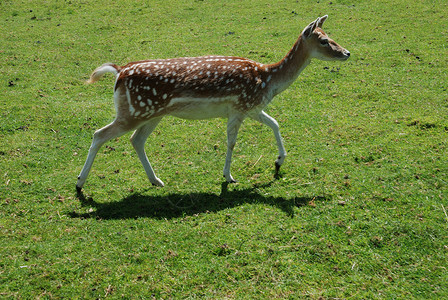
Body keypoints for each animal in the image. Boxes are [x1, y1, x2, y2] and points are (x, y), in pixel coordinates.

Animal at [76, 14, 350, 191]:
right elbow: (231, 142)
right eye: (323, 40)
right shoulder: (239, 107)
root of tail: (118, 73)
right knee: (99, 134)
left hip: (153, 113)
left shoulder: (251, 107)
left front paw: (278, 161)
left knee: (136, 140)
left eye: (329, 35)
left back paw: (156, 180)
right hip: (134, 111)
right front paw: (229, 177)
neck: (267, 80)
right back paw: (79, 184)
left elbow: (275, 123)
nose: (347, 53)